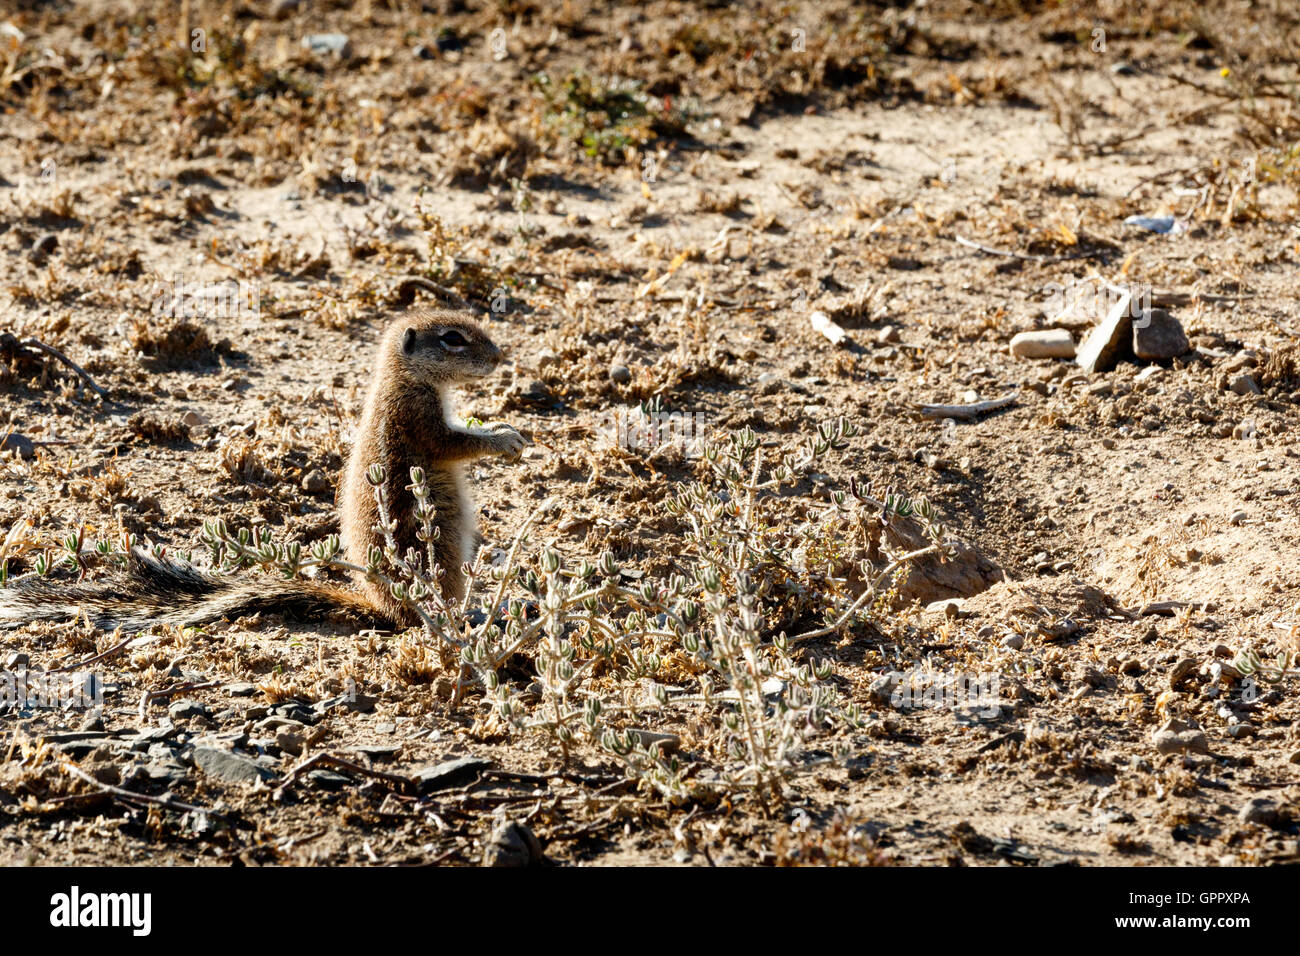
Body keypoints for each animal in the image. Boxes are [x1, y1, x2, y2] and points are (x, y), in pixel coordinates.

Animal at [2, 310, 527, 632]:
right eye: (453, 339)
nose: (501, 357)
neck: (404, 378)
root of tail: (380, 605)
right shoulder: (418, 420)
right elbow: (453, 443)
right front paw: (505, 437)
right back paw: (470, 619)